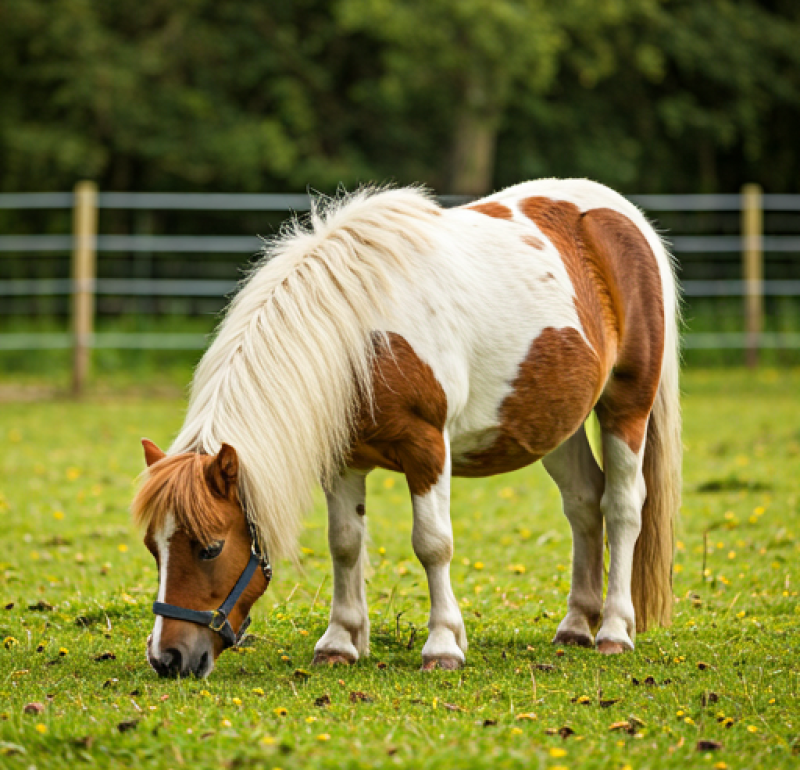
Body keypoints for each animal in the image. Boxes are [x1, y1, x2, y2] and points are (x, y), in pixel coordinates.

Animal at [132, 178, 681, 678]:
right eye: (153, 548)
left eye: (210, 548)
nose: (168, 658)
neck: (359, 334)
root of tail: (625, 217)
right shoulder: (344, 460)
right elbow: (344, 542)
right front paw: (340, 641)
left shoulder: (427, 448)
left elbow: (432, 543)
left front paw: (442, 645)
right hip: (554, 423)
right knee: (584, 503)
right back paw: (575, 626)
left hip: (626, 406)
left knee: (622, 507)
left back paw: (613, 630)